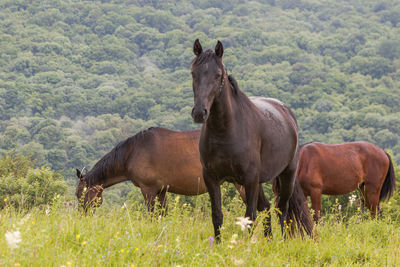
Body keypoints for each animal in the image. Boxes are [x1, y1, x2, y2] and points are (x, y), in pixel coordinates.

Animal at [191, 39, 312, 241]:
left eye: (218, 75)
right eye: (193, 73)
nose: (200, 112)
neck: (225, 131)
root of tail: (286, 111)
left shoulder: (249, 179)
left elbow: (249, 216)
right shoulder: (212, 178)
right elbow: (217, 215)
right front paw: (217, 244)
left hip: (286, 175)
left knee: (282, 209)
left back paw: (284, 240)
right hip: (259, 182)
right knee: (267, 207)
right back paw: (269, 240)